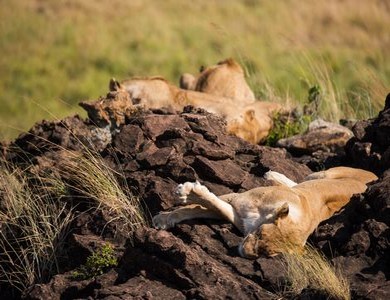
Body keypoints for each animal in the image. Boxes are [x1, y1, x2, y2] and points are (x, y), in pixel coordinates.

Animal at [153, 166, 378, 258]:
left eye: (267, 254)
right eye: (260, 234)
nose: (244, 253)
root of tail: (374, 176)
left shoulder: (239, 217)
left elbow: (211, 205)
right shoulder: (238, 199)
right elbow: (200, 205)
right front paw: (167, 214)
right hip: (325, 173)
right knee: (305, 178)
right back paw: (272, 174)